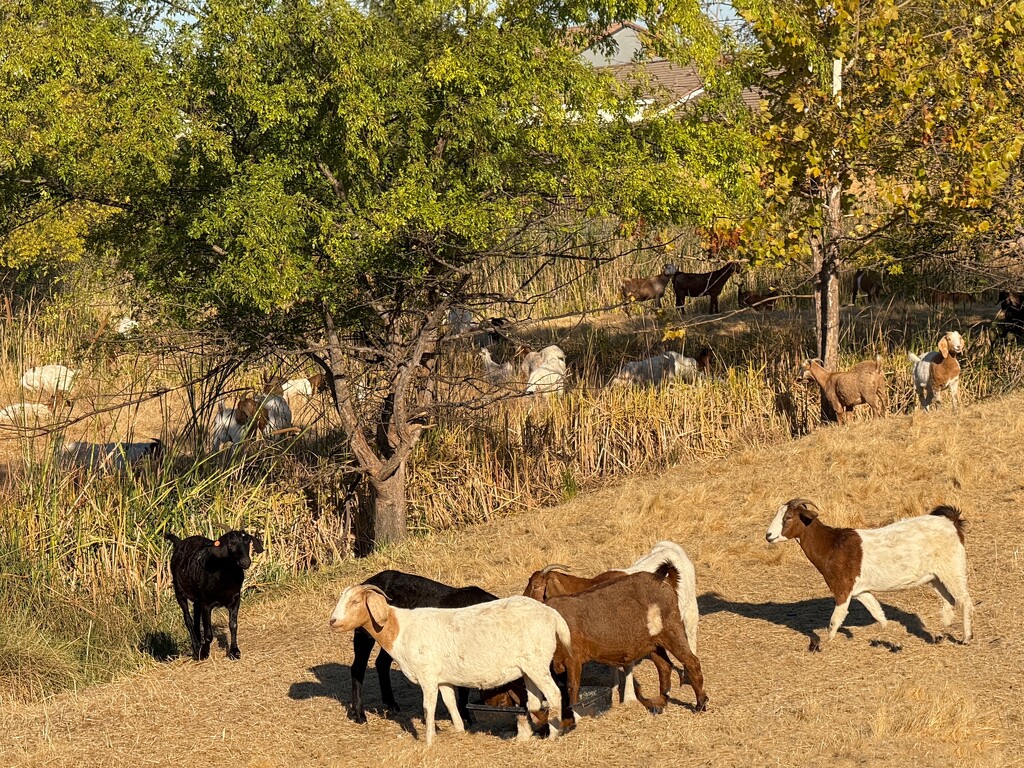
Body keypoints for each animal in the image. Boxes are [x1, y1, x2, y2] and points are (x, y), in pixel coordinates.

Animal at [161, 528, 262, 663]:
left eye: (247, 541)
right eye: (230, 544)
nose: (245, 562)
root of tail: (180, 542)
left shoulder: (235, 600)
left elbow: (233, 625)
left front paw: (235, 652)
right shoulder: (206, 603)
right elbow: (208, 633)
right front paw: (204, 652)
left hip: (197, 599)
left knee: (196, 618)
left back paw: (199, 644)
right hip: (179, 591)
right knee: (188, 619)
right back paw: (196, 647)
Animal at [327, 589, 569, 745]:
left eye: (355, 602)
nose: (333, 621)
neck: (399, 630)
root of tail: (551, 615)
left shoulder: (428, 676)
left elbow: (428, 707)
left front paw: (428, 741)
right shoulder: (443, 679)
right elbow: (451, 703)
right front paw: (460, 731)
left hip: (537, 663)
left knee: (554, 694)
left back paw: (553, 735)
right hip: (529, 667)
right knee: (535, 701)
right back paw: (528, 732)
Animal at [350, 573, 524, 729]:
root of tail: (367, 582)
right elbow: (463, 689)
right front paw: (465, 718)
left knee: (381, 664)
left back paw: (391, 704)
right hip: (364, 636)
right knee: (358, 669)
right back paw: (360, 715)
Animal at [548, 565, 708, 729]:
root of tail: (664, 584)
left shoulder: (573, 660)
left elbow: (572, 687)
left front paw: (573, 719)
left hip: (673, 633)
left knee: (692, 662)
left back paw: (700, 704)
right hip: (654, 644)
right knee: (664, 666)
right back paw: (661, 702)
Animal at [765, 499, 970, 655]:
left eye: (788, 517)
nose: (769, 535)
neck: (831, 545)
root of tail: (952, 522)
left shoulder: (842, 588)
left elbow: (835, 620)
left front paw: (827, 645)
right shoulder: (860, 590)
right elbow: (879, 615)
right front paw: (894, 642)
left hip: (953, 567)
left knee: (965, 599)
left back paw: (967, 638)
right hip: (935, 575)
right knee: (949, 599)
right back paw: (941, 634)